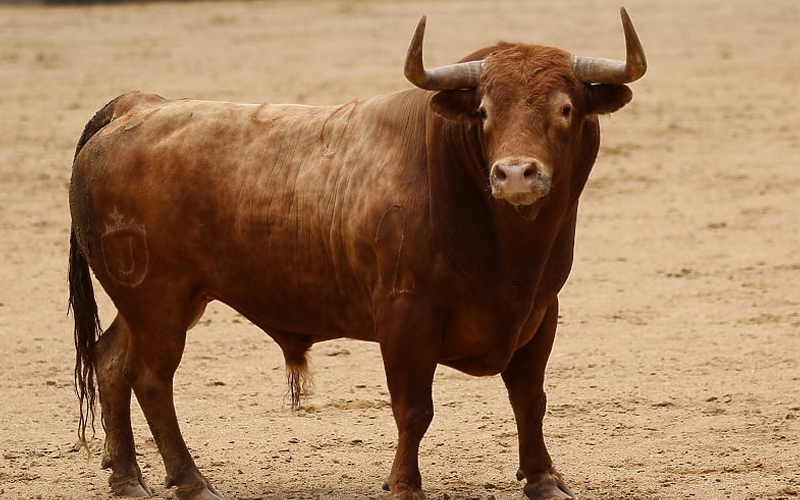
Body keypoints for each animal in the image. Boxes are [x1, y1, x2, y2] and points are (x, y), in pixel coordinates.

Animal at [67, 8, 644, 500]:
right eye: (482, 112)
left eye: (565, 109)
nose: (515, 174)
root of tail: (136, 107)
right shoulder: (405, 316)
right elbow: (414, 409)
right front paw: (405, 485)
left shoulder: (541, 310)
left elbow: (530, 399)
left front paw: (544, 479)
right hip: (159, 302)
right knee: (152, 380)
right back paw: (191, 482)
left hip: (156, 305)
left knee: (113, 361)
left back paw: (128, 478)